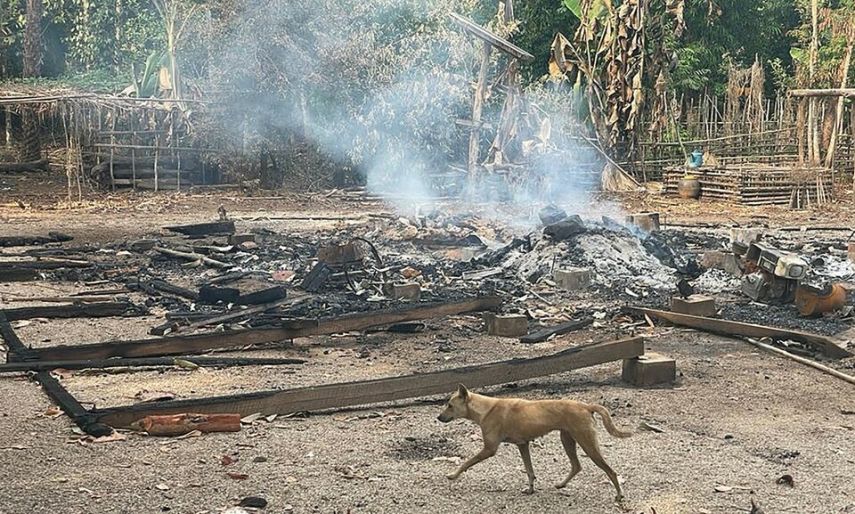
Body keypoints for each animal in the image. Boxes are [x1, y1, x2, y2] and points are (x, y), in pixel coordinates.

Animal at [438, 386, 632, 498]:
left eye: (449, 405)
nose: (438, 417)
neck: (486, 408)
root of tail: (586, 406)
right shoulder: (523, 445)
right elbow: (529, 471)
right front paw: (531, 489)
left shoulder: (489, 449)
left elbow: (467, 462)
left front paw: (453, 475)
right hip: (567, 440)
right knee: (577, 466)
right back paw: (561, 484)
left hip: (588, 445)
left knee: (611, 471)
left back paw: (619, 495)